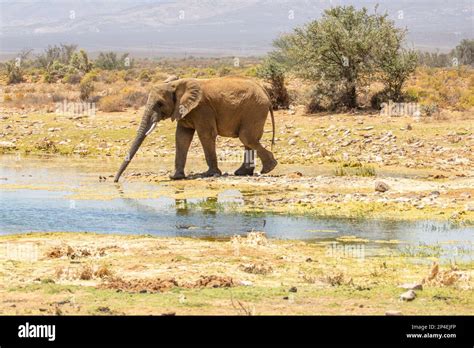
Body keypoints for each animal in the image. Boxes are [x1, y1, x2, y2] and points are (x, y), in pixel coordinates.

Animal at [114, 76, 276, 182]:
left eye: (159, 104)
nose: (116, 181)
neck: (175, 84)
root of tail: (264, 90)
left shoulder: (202, 108)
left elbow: (206, 134)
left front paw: (209, 174)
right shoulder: (183, 109)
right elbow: (181, 137)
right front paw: (175, 177)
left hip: (254, 109)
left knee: (246, 137)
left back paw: (269, 168)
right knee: (248, 139)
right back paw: (243, 173)